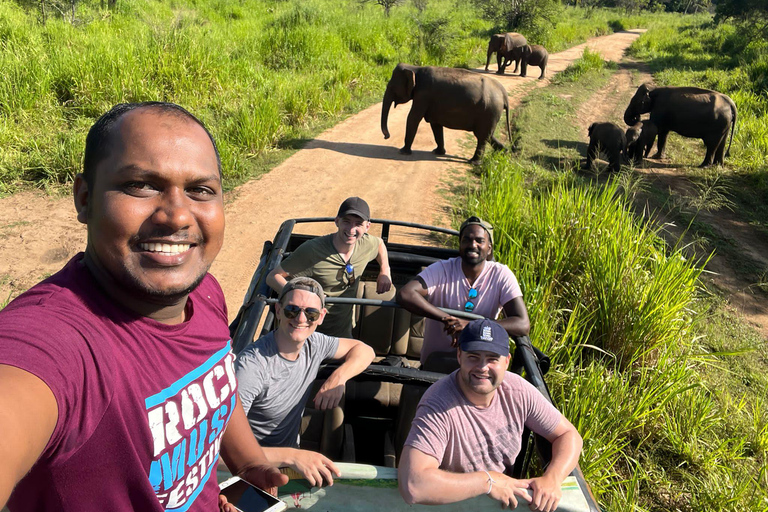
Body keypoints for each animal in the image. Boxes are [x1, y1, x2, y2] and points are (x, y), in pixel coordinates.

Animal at [380, 63, 512, 165]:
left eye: (391, 87)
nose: (386, 136)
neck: (416, 68)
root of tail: (504, 93)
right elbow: (435, 125)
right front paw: (437, 152)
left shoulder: (423, 95)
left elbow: (413, 118)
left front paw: (402, 152)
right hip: (490, 114)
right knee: (487, 135)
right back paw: (505, 153)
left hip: (489, 111)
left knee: (482, 136)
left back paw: (474, 162)